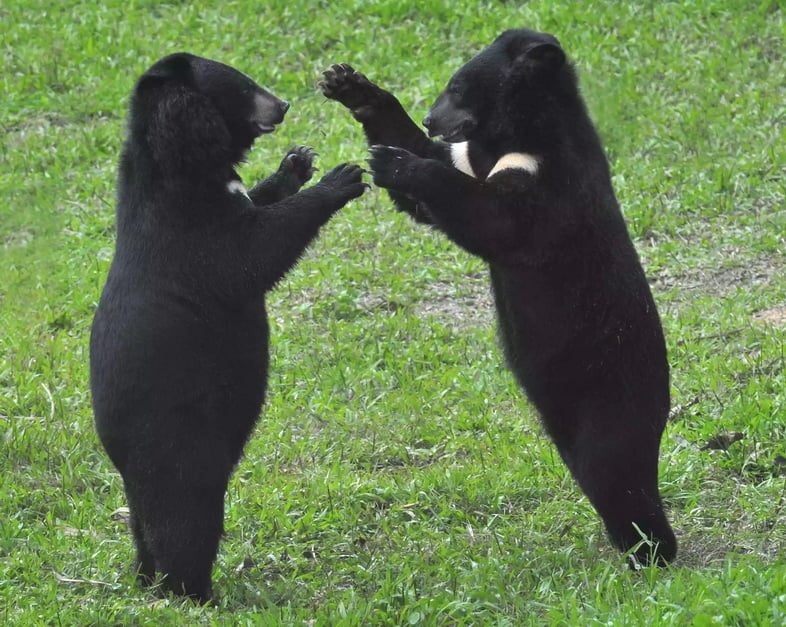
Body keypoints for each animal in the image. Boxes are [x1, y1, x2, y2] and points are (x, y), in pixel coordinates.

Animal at [90, 54, 366, 604]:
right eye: (240, 86)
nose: (283, 105)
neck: (182, 166)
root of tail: (119, 456)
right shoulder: (194, 236)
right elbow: (255, 253)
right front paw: (342, 177)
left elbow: (259, 203)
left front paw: (297, 162)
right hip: (180, 445)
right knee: (186, 523)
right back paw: (192, 592)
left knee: (145, 529)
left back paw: (147, 579)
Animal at [318, 29, 672, 568]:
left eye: (458, 88)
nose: (432, 118)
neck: (517, 135)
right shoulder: (474, 156)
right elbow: (438, 182)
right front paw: (350, 85)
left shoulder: (548, 180)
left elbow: (492, 218)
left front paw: (393, 162)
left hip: (609, 395)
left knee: (616, 472)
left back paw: (650, 551)